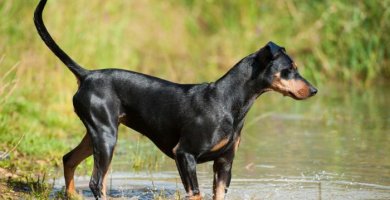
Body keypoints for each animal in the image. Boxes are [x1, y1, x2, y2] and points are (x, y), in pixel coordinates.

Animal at [34, 0, 316, 199]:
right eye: (289, 69)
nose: (314, 90)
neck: (228, 102)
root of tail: (87, 74)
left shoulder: (224, 163)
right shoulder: (184, 154)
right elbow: (197, 194)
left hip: (97, 133)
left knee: (68, 159)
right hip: (106, 137)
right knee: (96, 182)